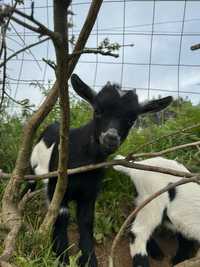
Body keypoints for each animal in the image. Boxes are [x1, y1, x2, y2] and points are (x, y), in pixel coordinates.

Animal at [28, 74, 172, 267]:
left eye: (131, 120)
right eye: (97, 111)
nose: (110, 138)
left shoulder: (90, 193)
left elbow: (86, 221)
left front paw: (89, 259)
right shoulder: (57, 186)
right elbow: (60, 216)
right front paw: (61, 256)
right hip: (32, 166)